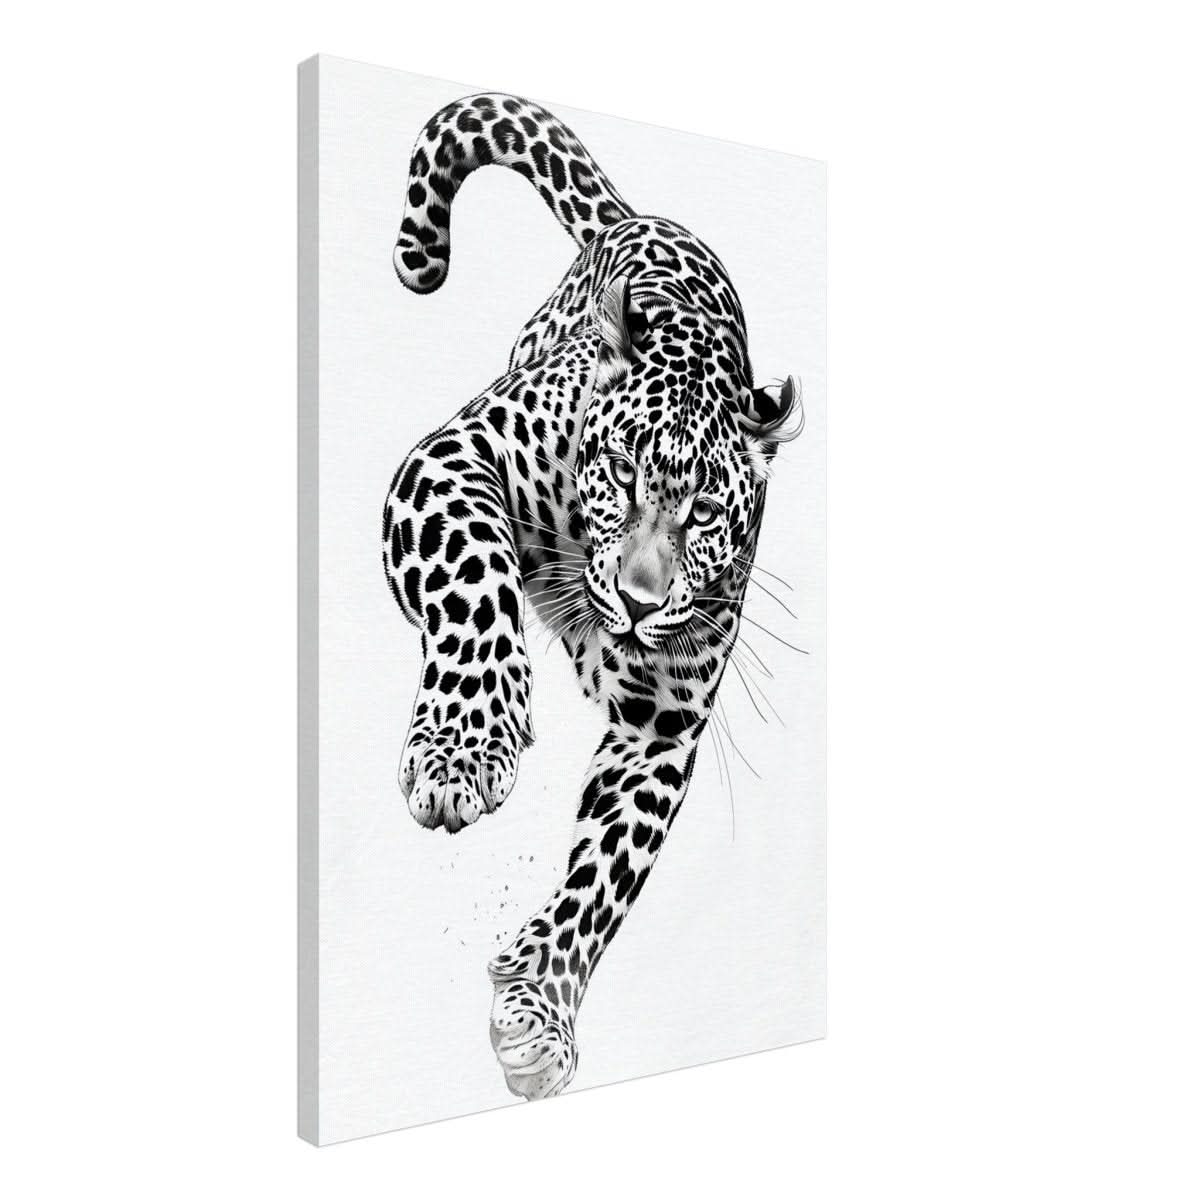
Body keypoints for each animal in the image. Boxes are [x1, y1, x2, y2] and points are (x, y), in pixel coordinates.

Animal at [383, 93, 804, 1101]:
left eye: (705, 513)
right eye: (619, 472)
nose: (641, 600)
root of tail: (642, 217)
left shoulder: (661, 723)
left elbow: (605, 874)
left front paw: (538, 1008)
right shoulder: (451, 459)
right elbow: (475, 578)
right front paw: (465, 748)